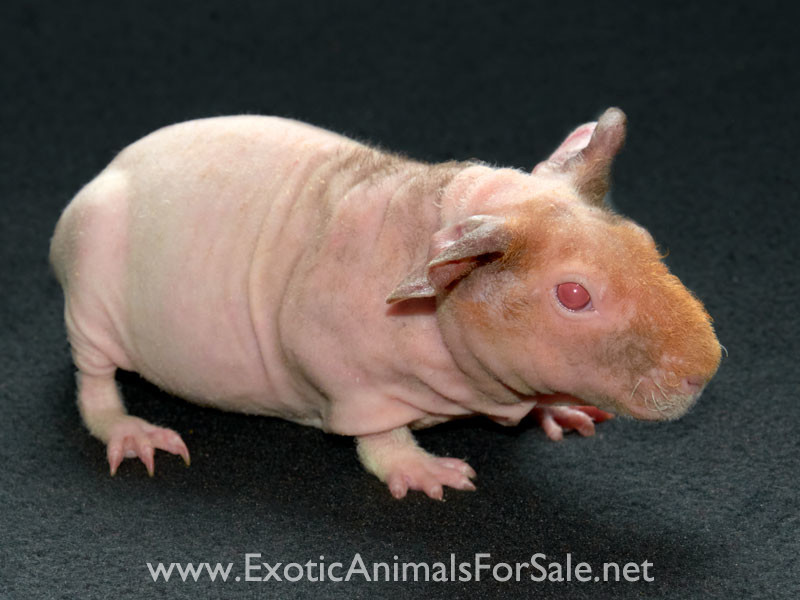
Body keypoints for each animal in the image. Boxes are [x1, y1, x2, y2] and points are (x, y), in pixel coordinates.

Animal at [49, 108, 722, 500]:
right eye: (575, 295)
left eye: (645, 242)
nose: (705, 371)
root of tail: (102, 176)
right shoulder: (343, 372)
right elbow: (378, 435)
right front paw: (423, 470)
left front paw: (555, 406)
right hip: (89, 281)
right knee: (93, 379)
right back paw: (129, 429)